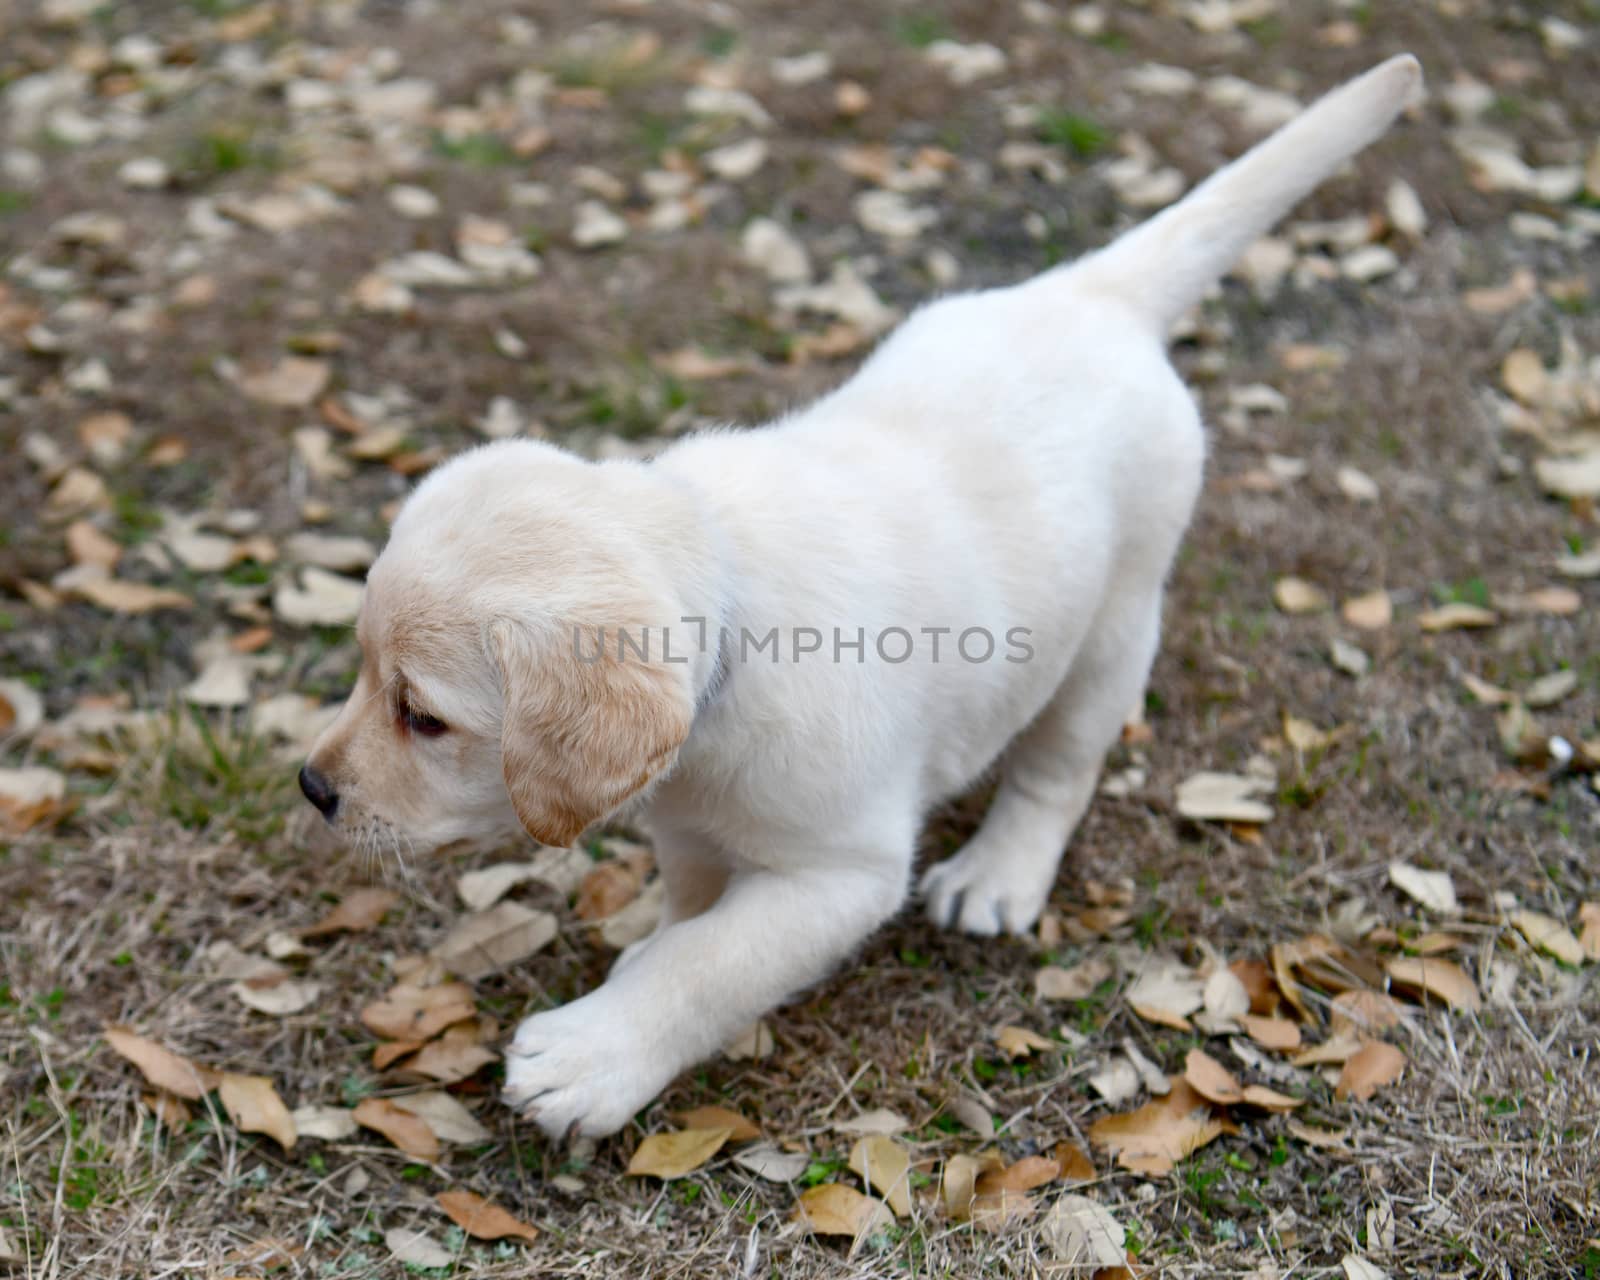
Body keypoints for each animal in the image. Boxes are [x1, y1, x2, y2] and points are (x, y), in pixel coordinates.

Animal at [297, 57, 1414, 1139]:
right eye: (362, 669)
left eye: (424, 717)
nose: (312, 788)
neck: (730, 609)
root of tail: (1091, 294)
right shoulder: (689, 825)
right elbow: (689, 915)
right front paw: (636, 963)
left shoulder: (843, 871)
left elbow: (710, 960)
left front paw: (593, 1056)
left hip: (1114, 623)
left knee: (1057, 766)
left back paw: (998, 873)